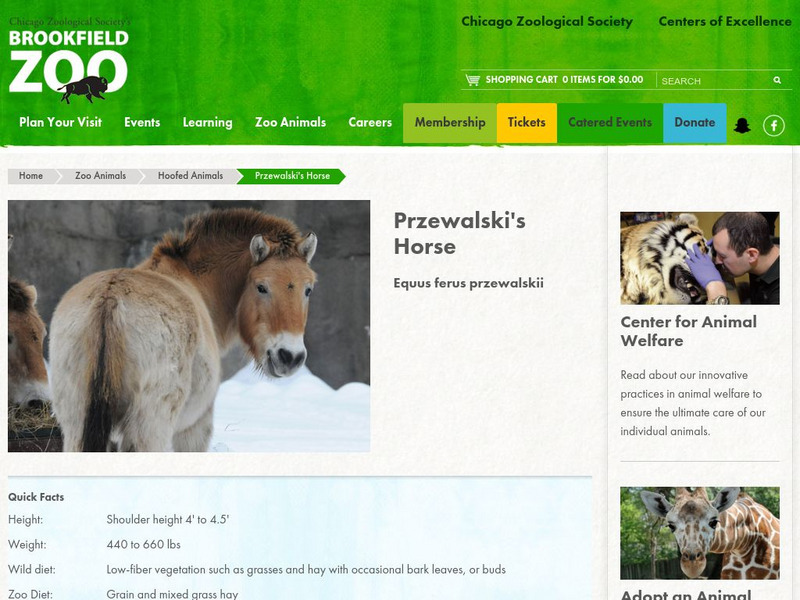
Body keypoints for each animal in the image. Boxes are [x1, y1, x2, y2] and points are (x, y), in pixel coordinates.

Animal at [49, 209, 317, 452]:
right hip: (150, 428)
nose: (289, 357)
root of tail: (109, 302)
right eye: (261, 287)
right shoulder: (195, 427)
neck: (195, 282)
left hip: (76, 425)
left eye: (308, 289)